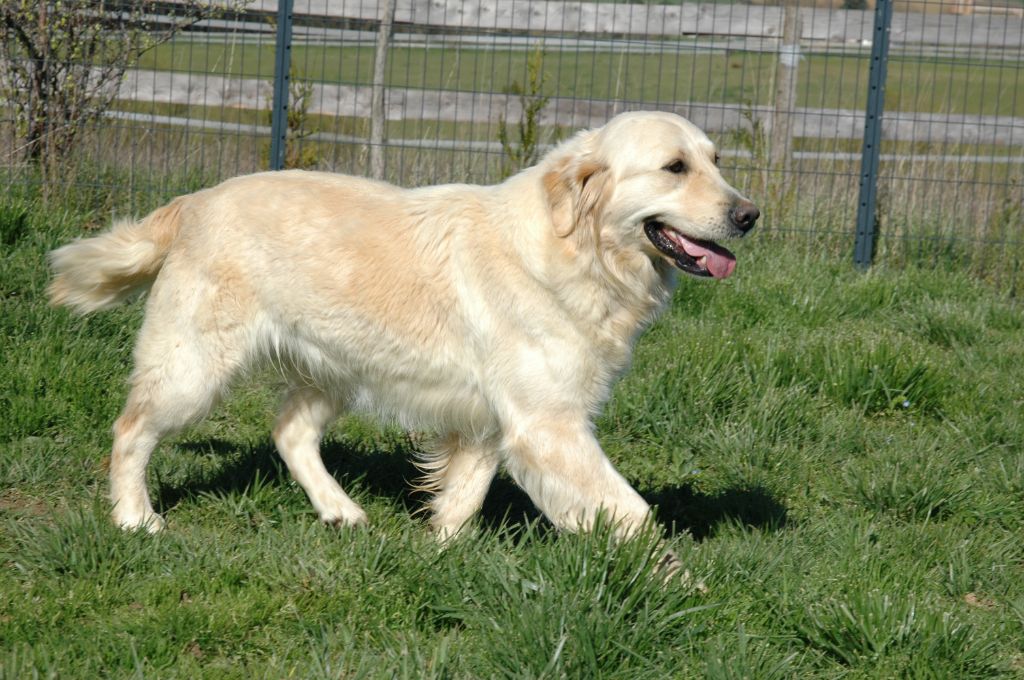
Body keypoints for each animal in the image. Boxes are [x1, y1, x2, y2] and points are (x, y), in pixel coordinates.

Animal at [49, 110, 761, 553]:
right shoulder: (548, 424)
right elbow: (636, 514)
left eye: (715, 161)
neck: (579, 251)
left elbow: (464, 498)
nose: (750, 214)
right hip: (194, 367)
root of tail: (196, 200)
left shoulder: (493, 423)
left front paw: (442, 553)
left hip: (335, 365)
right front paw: (686, 589)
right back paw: (135, 519)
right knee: (131, 430)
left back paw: (340, 511)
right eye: (674, 167)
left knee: (290, 432)